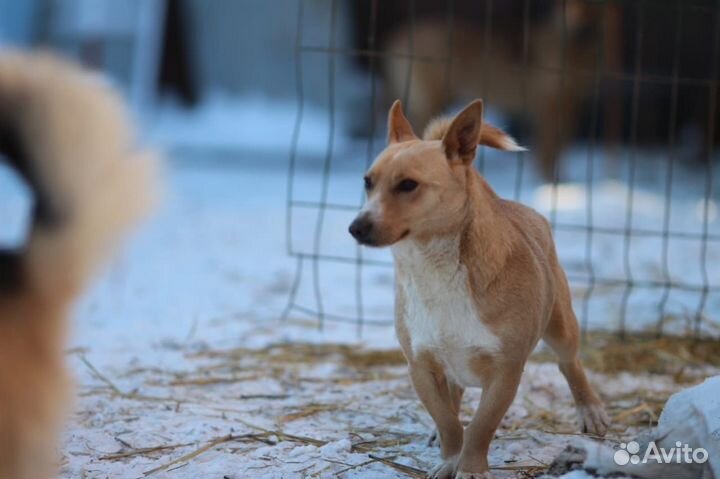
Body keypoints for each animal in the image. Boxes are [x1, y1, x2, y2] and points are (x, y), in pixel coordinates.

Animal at [282, 0, 720, 340]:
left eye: (408, 185)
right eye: (367, 183)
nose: (355, 228)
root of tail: (401, 32)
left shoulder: (565, 109)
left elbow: (556, 154)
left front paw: (559, 185)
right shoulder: (549, 107)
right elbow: (548, 155)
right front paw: (551, 184)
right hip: (427, 91)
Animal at [348, 100, 608, 479]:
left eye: (408, 185)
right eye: (368, 182)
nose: (356, 227)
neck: (434, 267)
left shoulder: (505, 372)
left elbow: (482, 425)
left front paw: (469, 467)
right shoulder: (420, 367)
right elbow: (448, 422)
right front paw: (449, 458)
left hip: (561, 326)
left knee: (569, 363)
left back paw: (590, 410)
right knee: (454, 397)